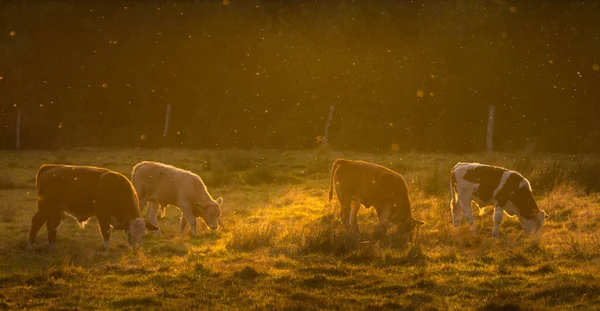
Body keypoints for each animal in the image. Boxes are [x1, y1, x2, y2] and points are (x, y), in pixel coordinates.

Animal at [28, 165, 159, 250]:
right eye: (130, 233)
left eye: (143, 233)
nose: (136, 248)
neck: (116, 188)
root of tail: (49, 167)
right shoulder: (102, 215)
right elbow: (106, 231)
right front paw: (105, 247)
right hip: (45, 208)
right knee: (36, 222)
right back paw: (30, 244)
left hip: (56, 210)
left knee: (52, 226)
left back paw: (52, 246)